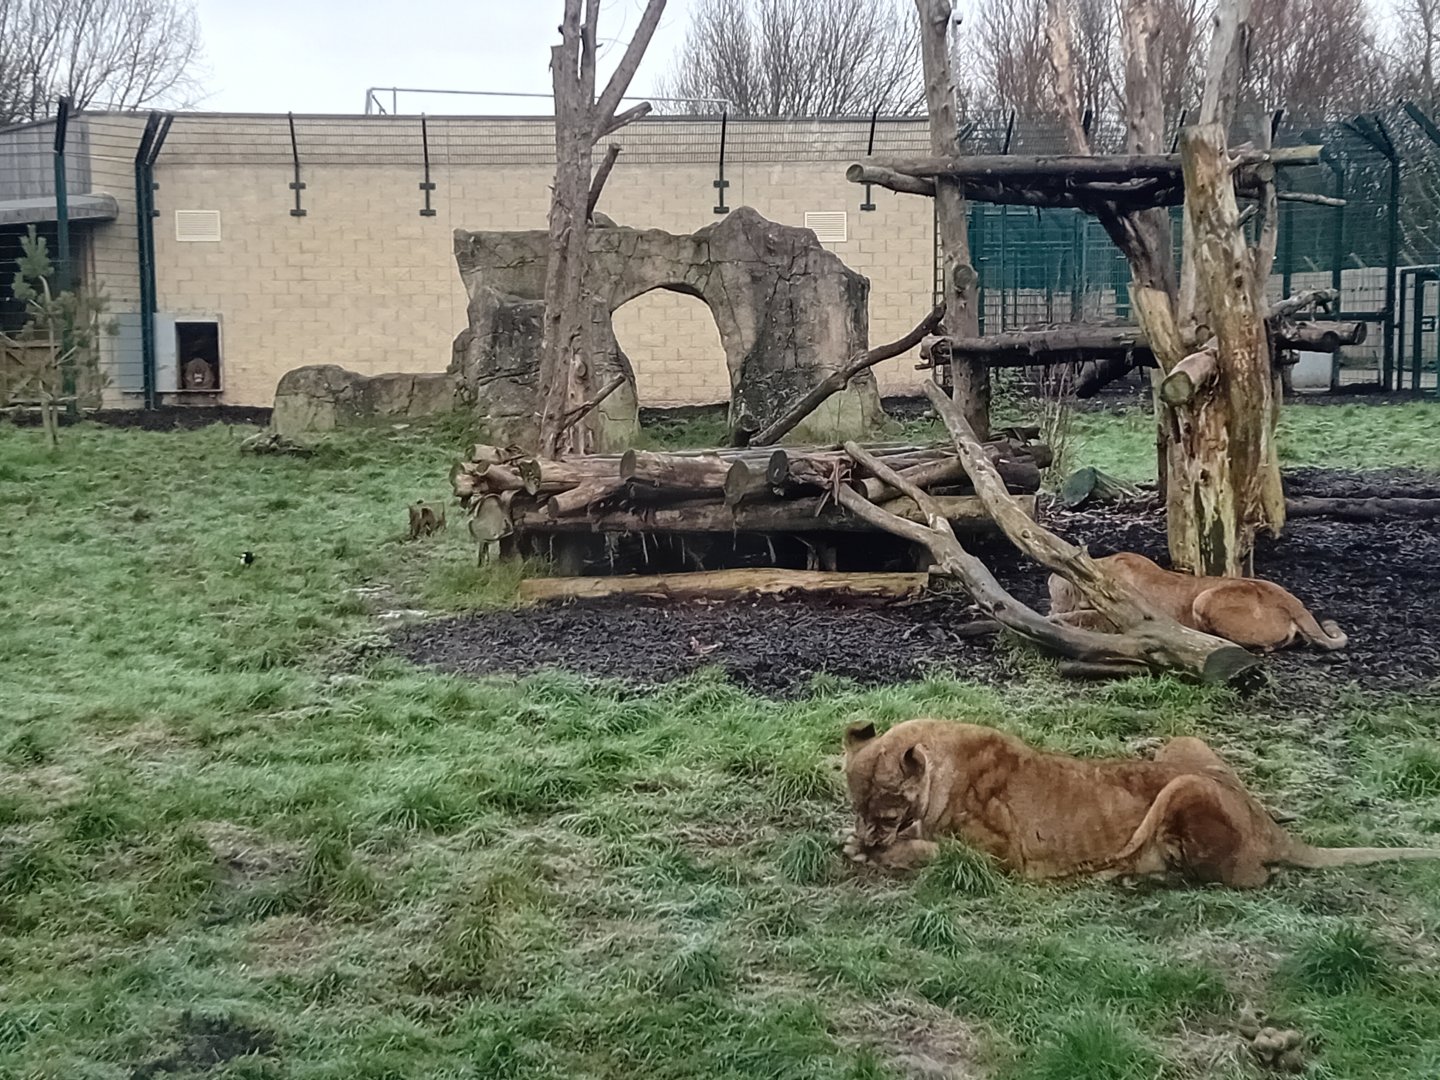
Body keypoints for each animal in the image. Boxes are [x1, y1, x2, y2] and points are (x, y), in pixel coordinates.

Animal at [842, 719, 1440, 888]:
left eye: (885, 808)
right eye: (854, 804)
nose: (867, 834)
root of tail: (1265, 819)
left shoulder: (1000, 858)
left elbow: (928, 851)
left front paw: (874, 853)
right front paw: (852, 843)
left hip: (1183, 789)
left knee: (1252, 876)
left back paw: (1134, 875)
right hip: (1183, 744)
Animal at [1048, 552, 1347, 652]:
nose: (1051, 605)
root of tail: (1293, 600)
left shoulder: (1115, 616)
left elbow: (1079, 616)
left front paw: (1054, 618)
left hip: (1204, 599)